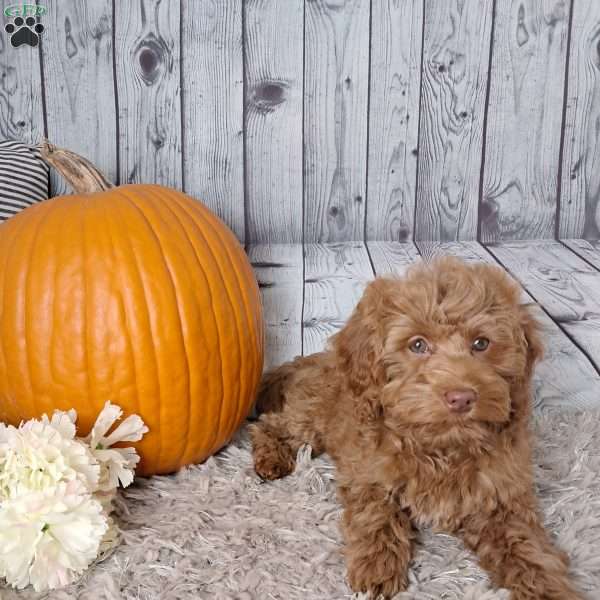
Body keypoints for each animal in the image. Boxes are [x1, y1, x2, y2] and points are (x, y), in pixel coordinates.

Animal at [248, 255, 580, 596]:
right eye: (418, 345)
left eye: (481, 343)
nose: (461, 397)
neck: (442, 445)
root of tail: (310, 359)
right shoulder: (369, 474)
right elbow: (376, 516)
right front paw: (377, 567)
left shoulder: (501, 495)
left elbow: (524, 543)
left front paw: (546, 586)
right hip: (312, 415)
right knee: (272, 424)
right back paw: (271, 458)